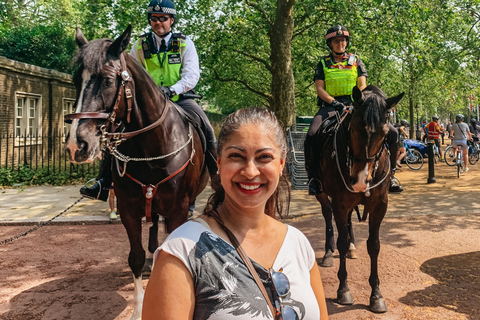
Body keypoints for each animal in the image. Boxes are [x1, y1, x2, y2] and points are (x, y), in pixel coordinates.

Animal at [64, 26, 209, 318]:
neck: (152, 146)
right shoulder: (129, 209)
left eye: (108, 80)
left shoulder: (177, 209)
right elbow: (136, 257)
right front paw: (140, 308)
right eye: (76, 80)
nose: (76, 144)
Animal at [314, 84, 404, 312]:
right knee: (328, 218)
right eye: (352, 129)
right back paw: (328, 254)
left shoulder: (380, 205)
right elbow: (341, 241)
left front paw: (376, 295)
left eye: (385, 133)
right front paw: (343, 290)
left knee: (348, 225)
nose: (361, 180)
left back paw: (353, 249)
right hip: (323, 195)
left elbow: (374, 245)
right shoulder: (339, 203)